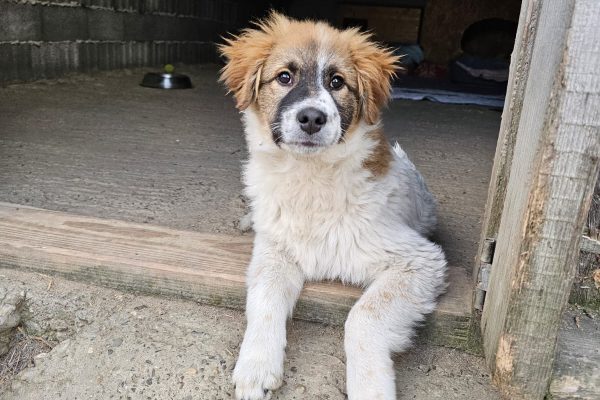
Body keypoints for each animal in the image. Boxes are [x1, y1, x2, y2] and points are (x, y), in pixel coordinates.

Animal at [219, 12, 447, 400]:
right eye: (284, 77)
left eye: (337, 82)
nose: (312, 118)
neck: (311, 179)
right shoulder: (275, 251)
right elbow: (263, 301)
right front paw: (256, 365)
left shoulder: (419, 262)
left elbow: (363, 317)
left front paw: (371, 389)